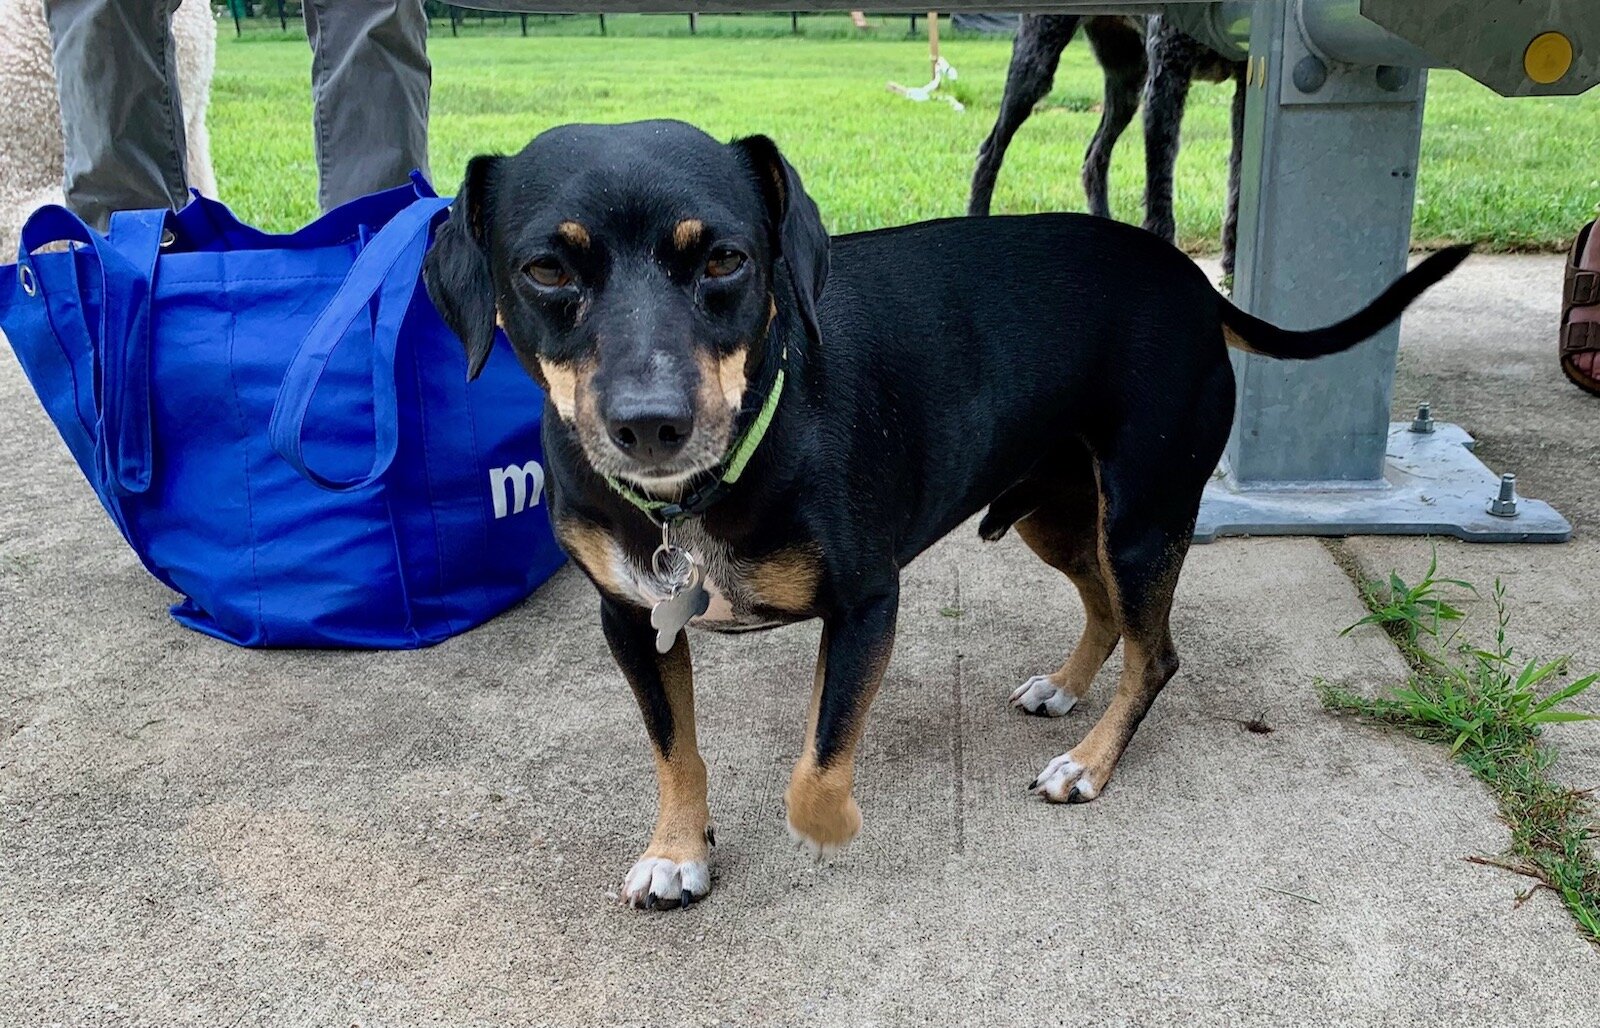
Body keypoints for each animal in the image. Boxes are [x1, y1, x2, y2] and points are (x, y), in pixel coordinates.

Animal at [422, 120, 1465, 903]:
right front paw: (679, 849)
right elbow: (675, 745)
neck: (717, 476)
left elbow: (816, 764)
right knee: (1104, 610)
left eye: (724, 259)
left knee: (1156, 651)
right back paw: (1067, 686)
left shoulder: (865, 604)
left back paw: (1089, 761)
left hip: (1142, 519)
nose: (651, 424)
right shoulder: (634, 619)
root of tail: (1191, 280)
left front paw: (830, 822)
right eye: (546, 272)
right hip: (1057, 514)